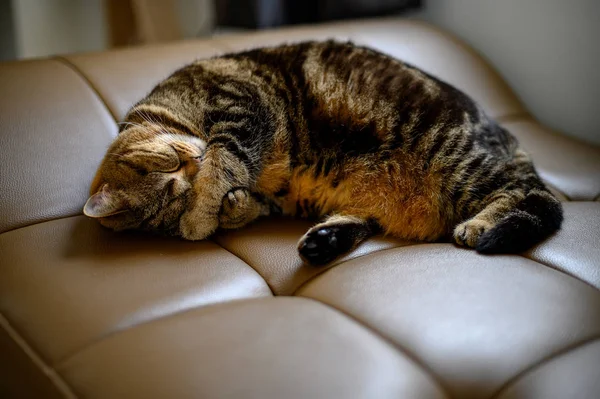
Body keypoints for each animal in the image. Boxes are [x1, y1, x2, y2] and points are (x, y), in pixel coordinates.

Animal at [83, 40, 564, 266]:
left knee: (536, 198)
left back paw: (479, 226)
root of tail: (511, 139)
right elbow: (240, 194)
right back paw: (322, 241)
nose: (193, 163)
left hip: (459, 161)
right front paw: (224, 208)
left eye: (171, 161)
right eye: (170, 175)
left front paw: (201, 215)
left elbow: (224, 160)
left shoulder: (241, 110)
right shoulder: (269, 193)